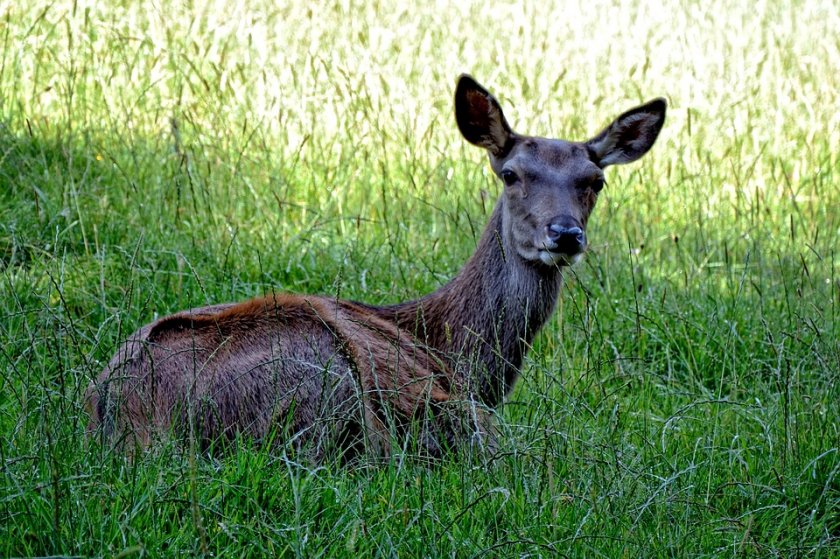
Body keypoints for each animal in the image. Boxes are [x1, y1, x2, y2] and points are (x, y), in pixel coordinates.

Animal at [83, 76, 664, 464]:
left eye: (595, 181)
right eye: (511, 174)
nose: (564, 233)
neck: (450, 348)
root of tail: (126, 418)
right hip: (323, 376)